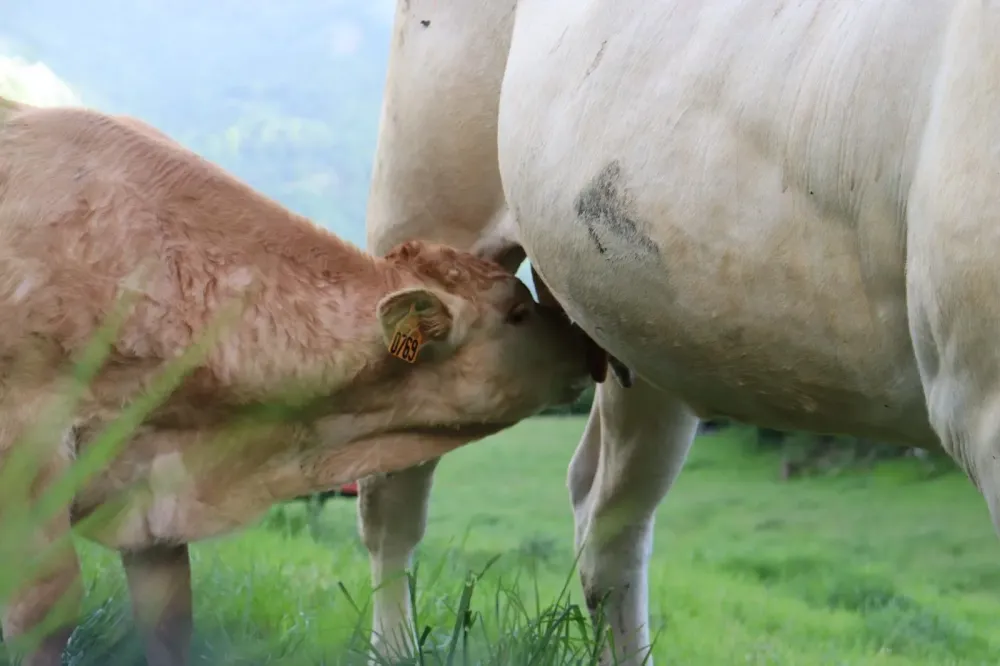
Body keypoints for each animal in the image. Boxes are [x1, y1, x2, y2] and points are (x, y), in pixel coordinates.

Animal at [0, 97, 597, 666]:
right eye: (516, 312)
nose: (585, 342)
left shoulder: (153, 486)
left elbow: (169, 620)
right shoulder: (29, 442)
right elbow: (47, 605)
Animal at [360, 0, 1000, 663]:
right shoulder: (984, 400)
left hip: (644, 325)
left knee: (608, 514)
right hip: (427, 200)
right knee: (391, 498)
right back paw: (395, 646)